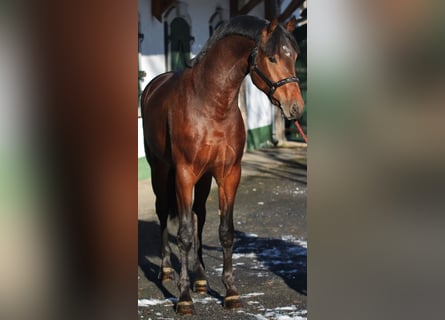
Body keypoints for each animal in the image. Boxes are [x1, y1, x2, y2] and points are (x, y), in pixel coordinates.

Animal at [140, 15, 304, 316]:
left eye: (295, 56)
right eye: (273, 58)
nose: (295, 108)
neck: (211, 105)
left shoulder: (229, 174)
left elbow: (225, 232)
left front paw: (230, 292)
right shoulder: (184, 174)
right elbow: (184, 234)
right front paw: (184, 298)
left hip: (204, 178)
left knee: (199, 215)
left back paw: (201, 278)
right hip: (161, 169)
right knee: (163, 212)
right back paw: (167, 269)